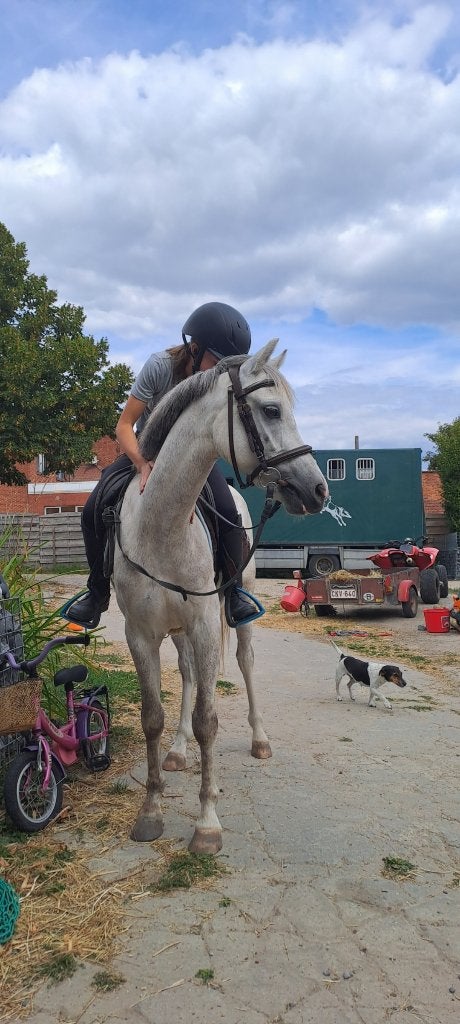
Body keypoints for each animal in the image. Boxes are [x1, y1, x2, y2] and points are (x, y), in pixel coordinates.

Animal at [113, 339, 328, 854]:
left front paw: (207, 823)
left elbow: (209, 719)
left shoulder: (208, 625)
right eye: (271, 410)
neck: (163, 525)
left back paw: (259, 739)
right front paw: (151, 810)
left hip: (237, 613)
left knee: (246, 663)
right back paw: (177, 750)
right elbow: (152, 716)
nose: (318, 489)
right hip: (177, 631)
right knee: (189, 674)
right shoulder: (141, 634)